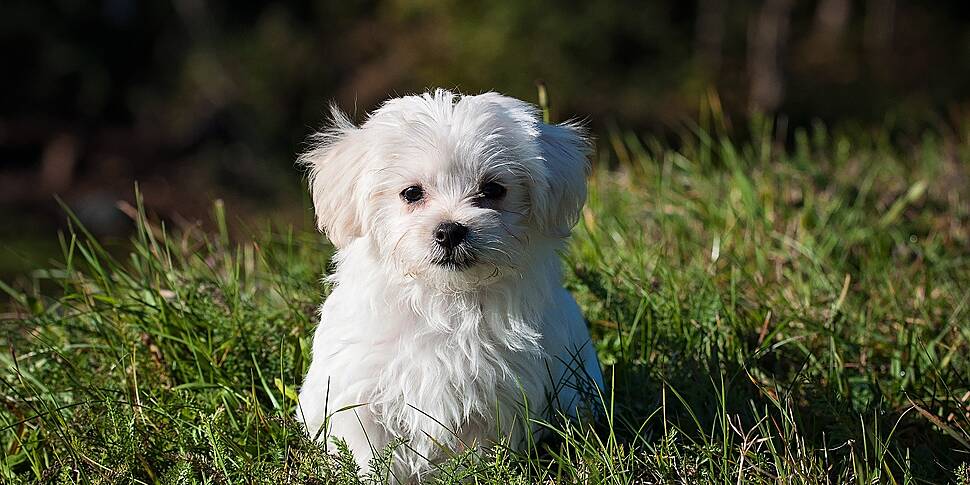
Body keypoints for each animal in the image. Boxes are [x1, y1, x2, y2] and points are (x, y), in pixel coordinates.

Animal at [294, 88, 600, 480]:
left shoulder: (495, 397)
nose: (450, 230)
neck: (445, 298)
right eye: (411, 193)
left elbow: (476, 453)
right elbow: (371, 453)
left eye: (493, 189)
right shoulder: (360, 392)